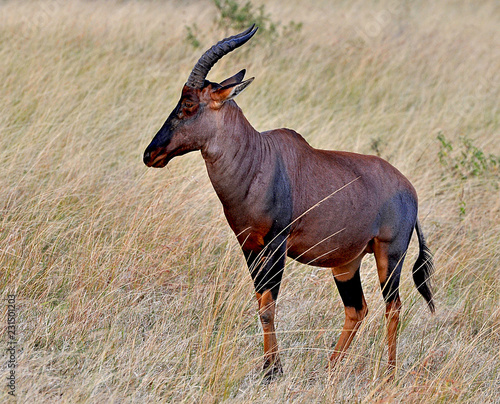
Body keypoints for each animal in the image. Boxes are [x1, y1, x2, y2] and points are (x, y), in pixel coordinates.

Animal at [142, 25, 434, 378]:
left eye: (188, 103)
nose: (151, 154)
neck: (259, 158)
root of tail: (410, 190)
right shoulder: (249, 246)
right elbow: (260, 302)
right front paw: (270, 367)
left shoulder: (276, 244)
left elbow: (269, 307)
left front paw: (273, 371)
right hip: (346, 263)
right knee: (357, 309)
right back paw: (330, 369)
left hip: (389, 254)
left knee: (393, 307)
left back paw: (388, 374)